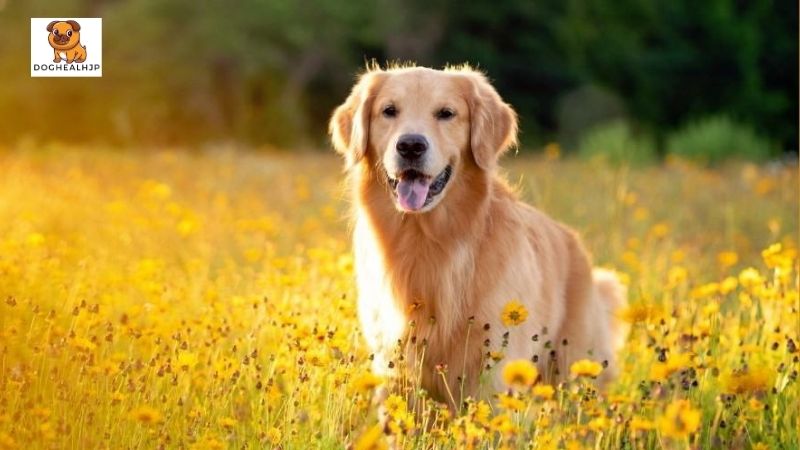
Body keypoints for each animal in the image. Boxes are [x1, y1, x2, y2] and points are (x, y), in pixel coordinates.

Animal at [328, 66, 628, 408]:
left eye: (446, 113)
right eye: (389, 111)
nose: (411, 146)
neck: (428, 241)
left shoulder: (495, 369)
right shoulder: (394, 365)